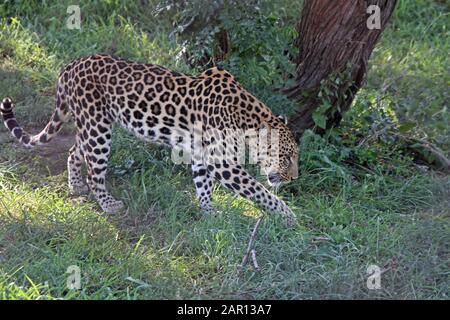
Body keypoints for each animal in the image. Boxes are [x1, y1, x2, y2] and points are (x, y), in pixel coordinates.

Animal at [2, 53, 302, 225]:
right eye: (286, 156)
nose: (294, 178)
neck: (246, 119)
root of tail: (70, 66)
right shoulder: (222, 162)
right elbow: (258, 190)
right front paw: (288, 215)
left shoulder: (201, 152)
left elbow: (202, 183)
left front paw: (208, 211)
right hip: (98, 127)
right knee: (94, 170)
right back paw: (108, 204)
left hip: (90, 122)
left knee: (75, 151)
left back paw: (75, 185)